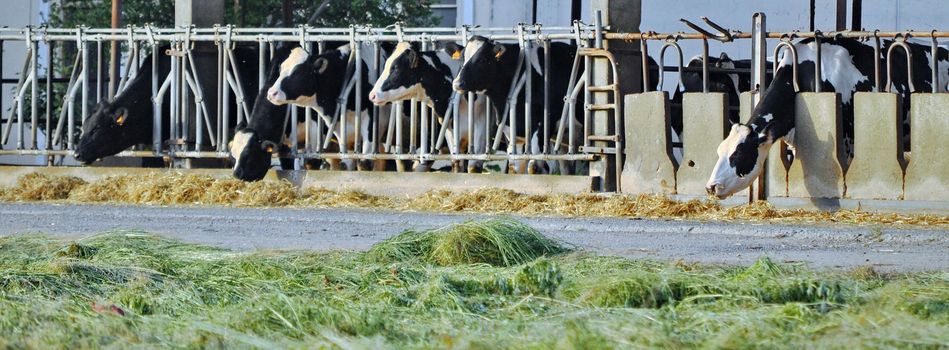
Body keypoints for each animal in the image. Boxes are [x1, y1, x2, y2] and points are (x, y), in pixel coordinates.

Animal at [368, 41, 488, 173]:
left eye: (396, 68)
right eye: (385, 65)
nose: (372, 95)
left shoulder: (481, 125)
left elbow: (473, 167)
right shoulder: (450, 130)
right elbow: (456, 162)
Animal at [450, 34, 576, 174]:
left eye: (482, 59)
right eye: (462, 58)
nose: (457, 83)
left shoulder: (545, 123)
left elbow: (534, 167)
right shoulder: (513, 132)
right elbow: (515, 168)